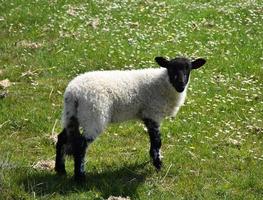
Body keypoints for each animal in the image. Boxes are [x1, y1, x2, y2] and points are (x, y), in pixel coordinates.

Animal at [55, 55, 207, 180]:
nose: (181, 84)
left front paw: (153, 160)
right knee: (81, 145)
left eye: (189, 69)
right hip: (94, 116)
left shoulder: (147, 116)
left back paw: (60, 170)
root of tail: (74, 93)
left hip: (71, 116)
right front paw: (158, 164)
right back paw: (80, 178)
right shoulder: (153, 113)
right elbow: (157, 142)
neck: (164, 85)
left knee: (61, 138)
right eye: (171, 68)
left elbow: (153, 142)